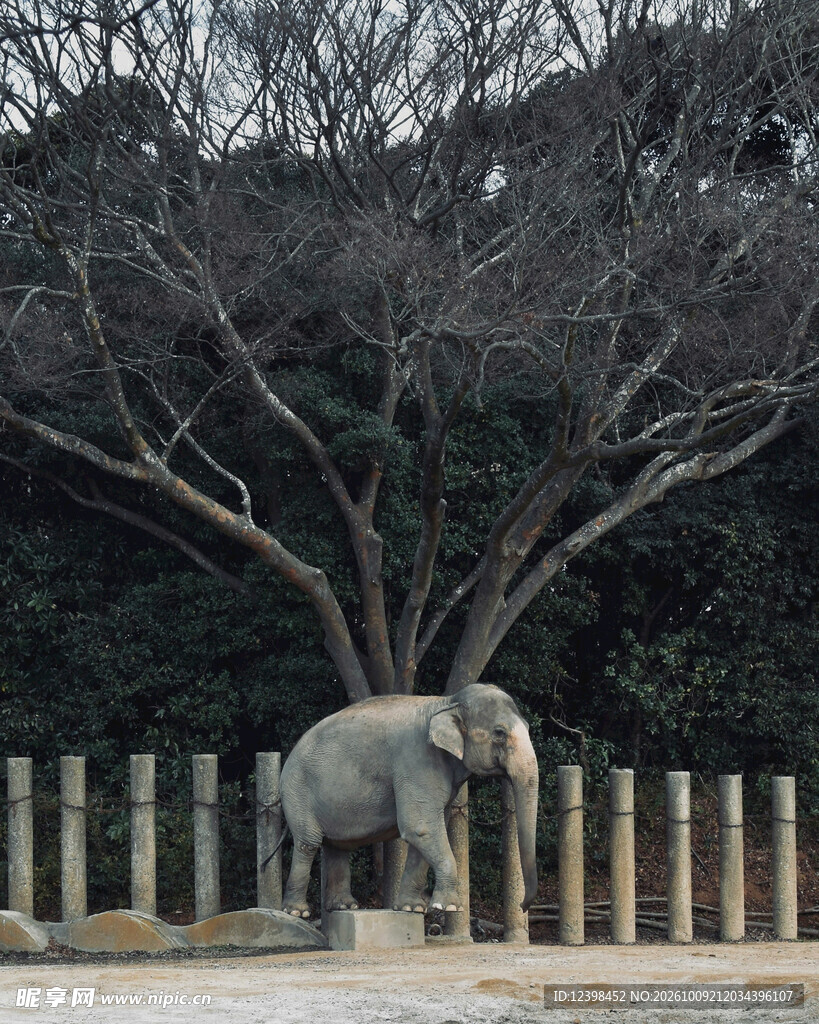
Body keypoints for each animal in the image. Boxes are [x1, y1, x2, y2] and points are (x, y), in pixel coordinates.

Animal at [279, 683, 539, 918]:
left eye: (527, 727)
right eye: (499, 733)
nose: (523, 906)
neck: (446, 702)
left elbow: (425, 832)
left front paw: (411, 908)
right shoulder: (416, 761)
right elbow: (421, 827)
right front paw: (448, 907)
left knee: (337, 846)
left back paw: (344, 907)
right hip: (297, 791)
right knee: (308, 843)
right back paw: (297, 912)